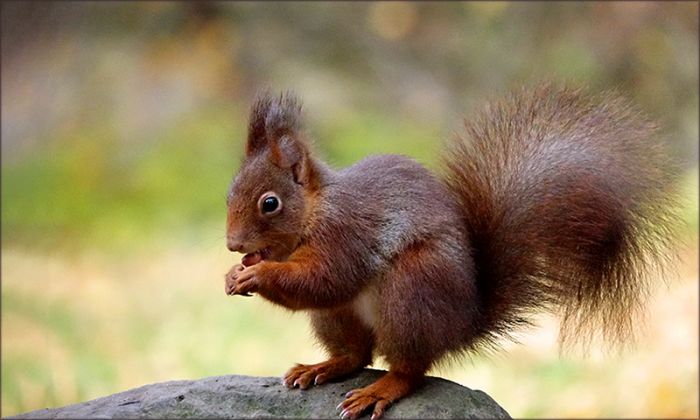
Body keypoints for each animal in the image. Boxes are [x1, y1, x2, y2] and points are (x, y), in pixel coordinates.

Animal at [224, 84, 678, 420]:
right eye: (230, 192)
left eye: (270, 203)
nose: (232, 244)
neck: (316, 210)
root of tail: (461, 324)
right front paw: (237, 272)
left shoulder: (346, 233)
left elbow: (325, 279)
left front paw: (256, 274)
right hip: (338, 317)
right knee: (356, 354)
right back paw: (322, 367)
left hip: (411, 294)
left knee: (410, 369)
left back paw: (381, 390)